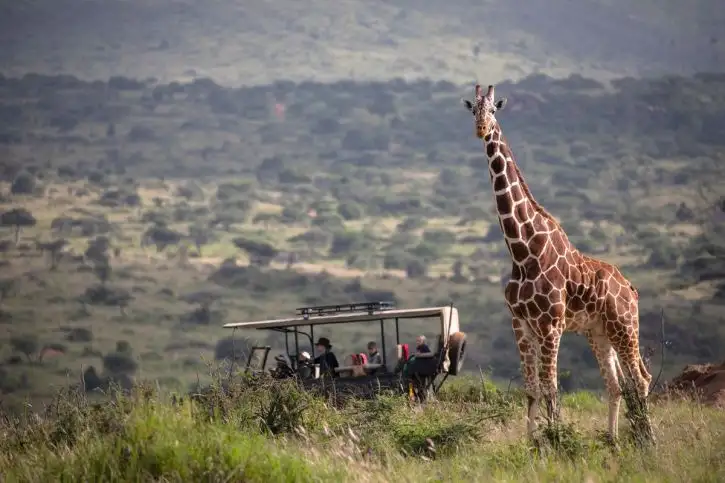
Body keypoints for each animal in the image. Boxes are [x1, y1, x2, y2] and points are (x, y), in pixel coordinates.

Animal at [460, 84, 652, 442]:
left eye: (493, 110)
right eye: (473, 110)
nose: (481, 129)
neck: (522, 251)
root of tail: (631, 289)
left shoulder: (551, 326)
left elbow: (551, 388)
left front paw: (557, 440)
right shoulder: (520, 324)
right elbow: (532, 389)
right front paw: (534, 443)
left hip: (624, 326)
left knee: (641, 379)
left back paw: (649, 440)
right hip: (599, 333)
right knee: (617, 386)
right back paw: (614, 442)